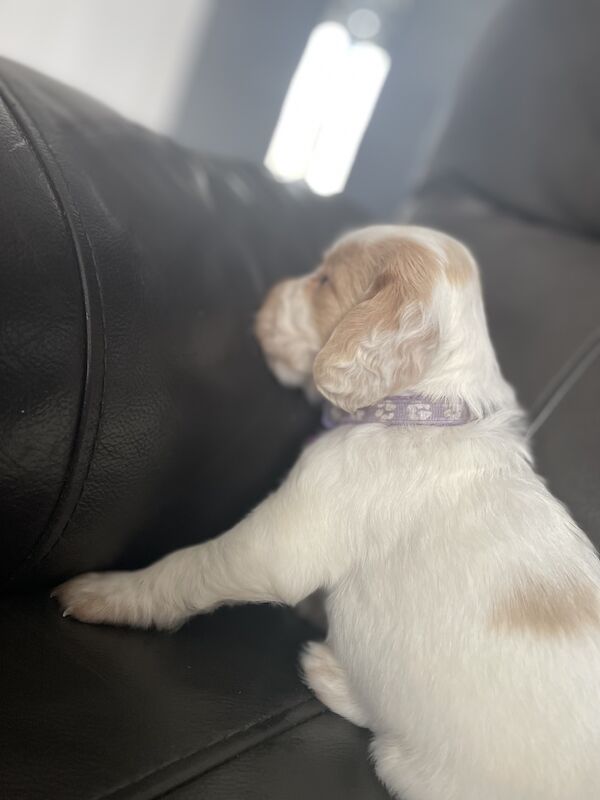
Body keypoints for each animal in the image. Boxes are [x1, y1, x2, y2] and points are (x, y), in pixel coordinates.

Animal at [54, 225, 600, 800]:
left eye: (324, 281)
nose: (266, 295)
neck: (419, 410)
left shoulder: (278, 540)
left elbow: (184, 566)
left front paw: (105, 592)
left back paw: (330, 674)